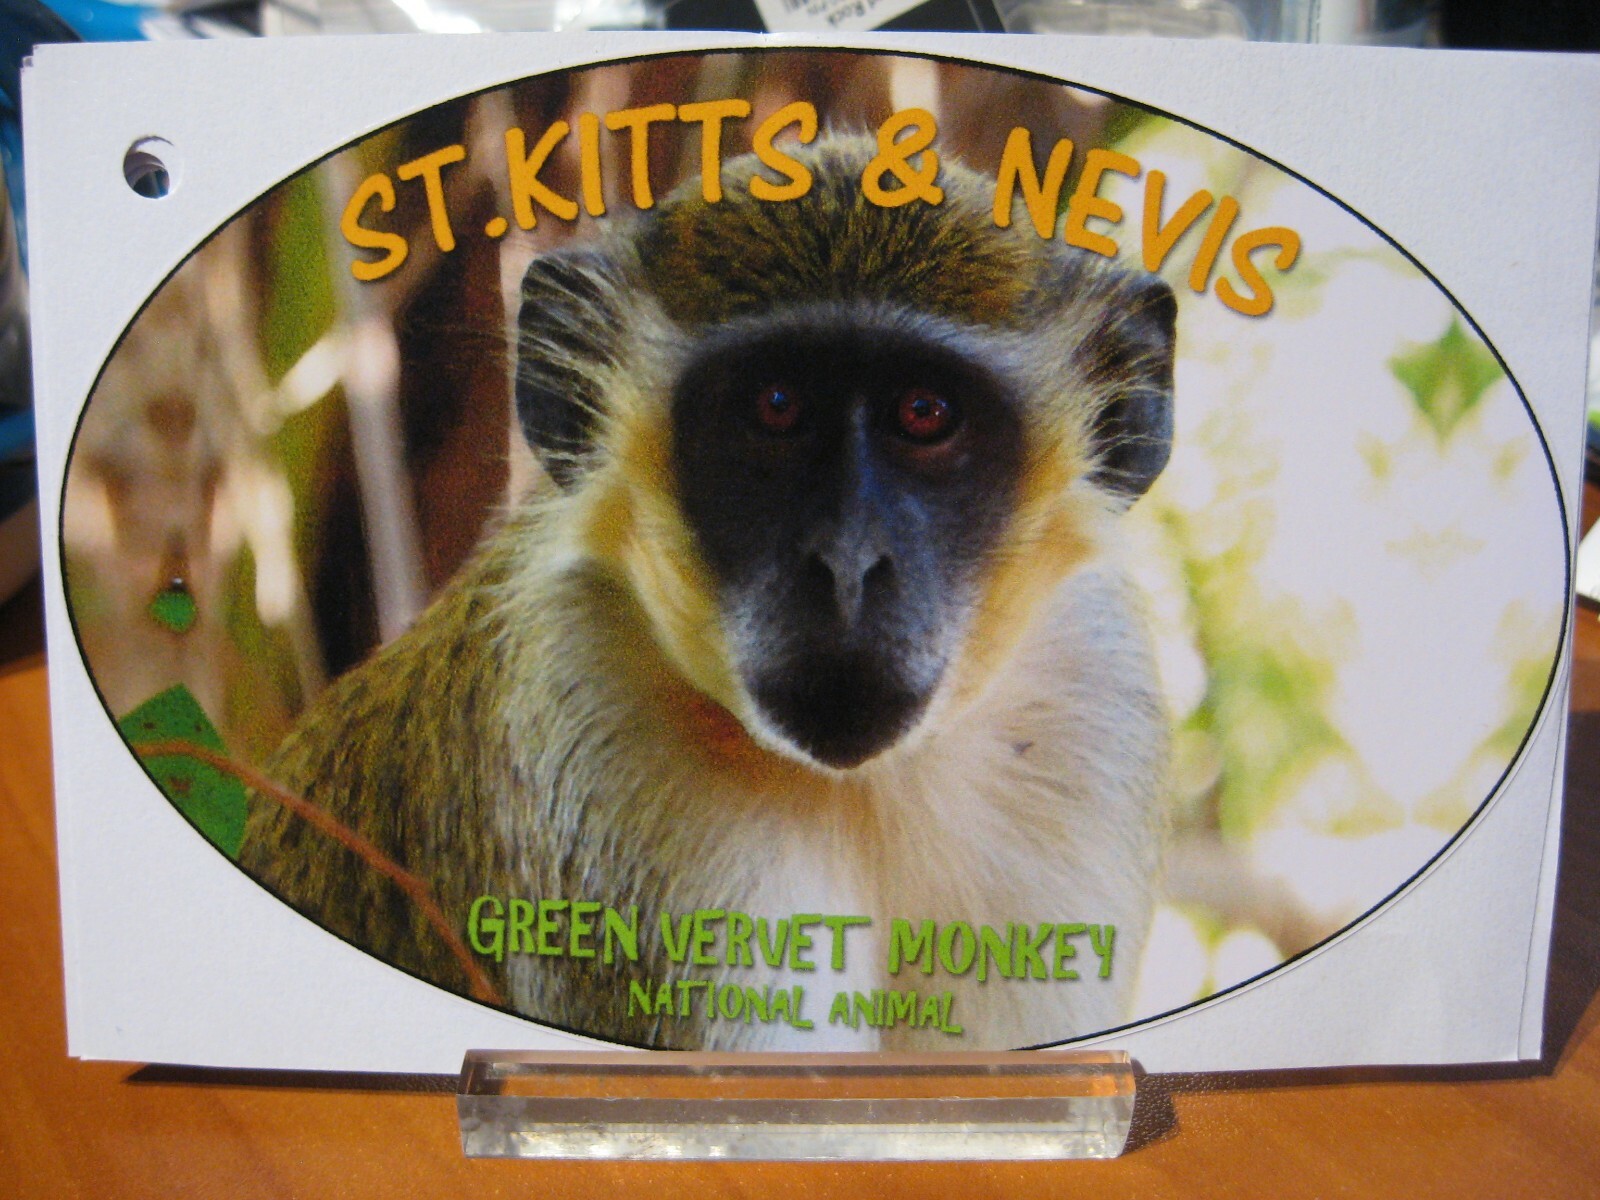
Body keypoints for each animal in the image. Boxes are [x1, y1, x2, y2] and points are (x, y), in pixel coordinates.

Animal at [240, 134, 1175, 1051]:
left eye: (924, 413)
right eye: (776, 405)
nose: (846, 563)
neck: (863, 788)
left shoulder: (1091, 703)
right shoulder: (597, 766)